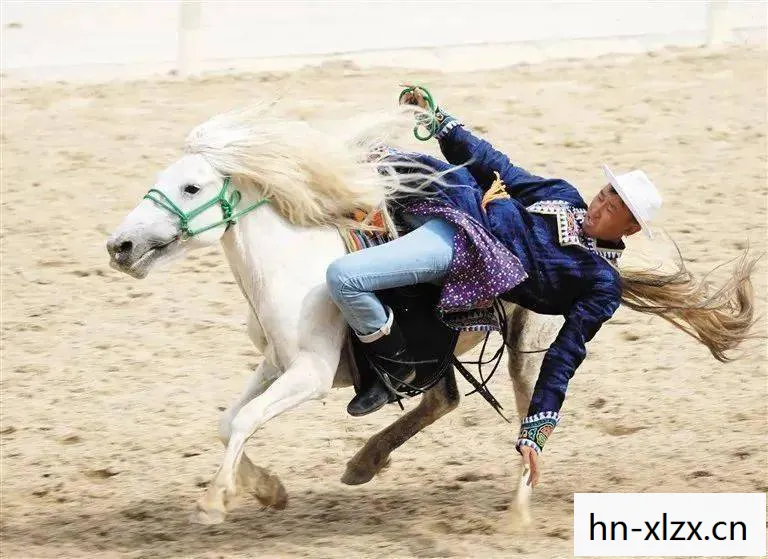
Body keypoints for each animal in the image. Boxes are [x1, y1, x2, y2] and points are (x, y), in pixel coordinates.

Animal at [105, 105, 563, 526]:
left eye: (192, 187)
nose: (120, 246)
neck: (289, 266)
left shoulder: (311, 373)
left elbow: (246, 418)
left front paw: (214, 500)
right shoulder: (275, 362)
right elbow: (228, 422)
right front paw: (268, 490)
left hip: (529, 349)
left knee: (529, 424)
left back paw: (518, 512)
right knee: (442, 400)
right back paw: (364, 463)